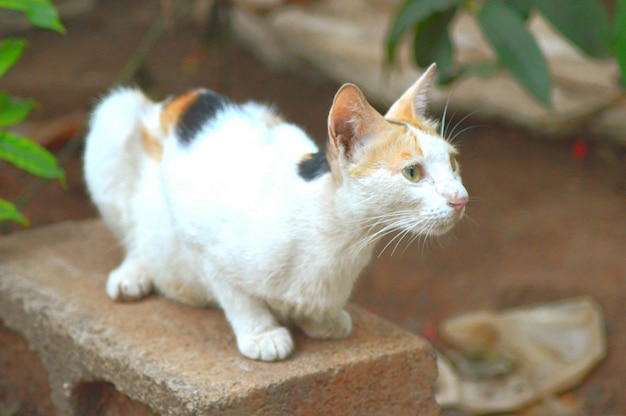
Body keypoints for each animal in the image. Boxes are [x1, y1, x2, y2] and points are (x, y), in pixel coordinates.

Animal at [83, 64, 466, 360]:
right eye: (412, 172)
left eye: (453, 163)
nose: (461, 198)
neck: (340, 242)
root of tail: (186, 97)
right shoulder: (201, 238)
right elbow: (235, 295)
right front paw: (261, 334)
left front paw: (321, 319)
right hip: (113, 117)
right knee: (132, 233)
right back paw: (134, 272)